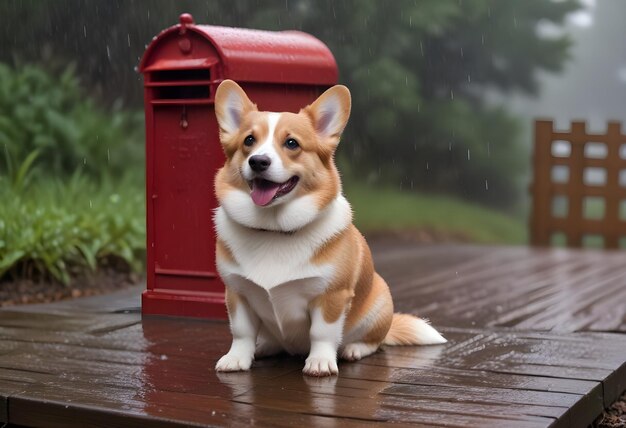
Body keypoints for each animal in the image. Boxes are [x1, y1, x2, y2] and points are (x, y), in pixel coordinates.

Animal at [213, 79, 444, 374]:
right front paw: (236, 359)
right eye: (249, 141)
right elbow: (241, 332)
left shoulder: (331, 296)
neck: (274, 230)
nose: (258, 161)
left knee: (373, 341)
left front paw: (321, 362)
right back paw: (264, 347)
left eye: (291, 143)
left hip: (380, 302)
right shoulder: (238, 293)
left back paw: (352, 349)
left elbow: (321, 333)